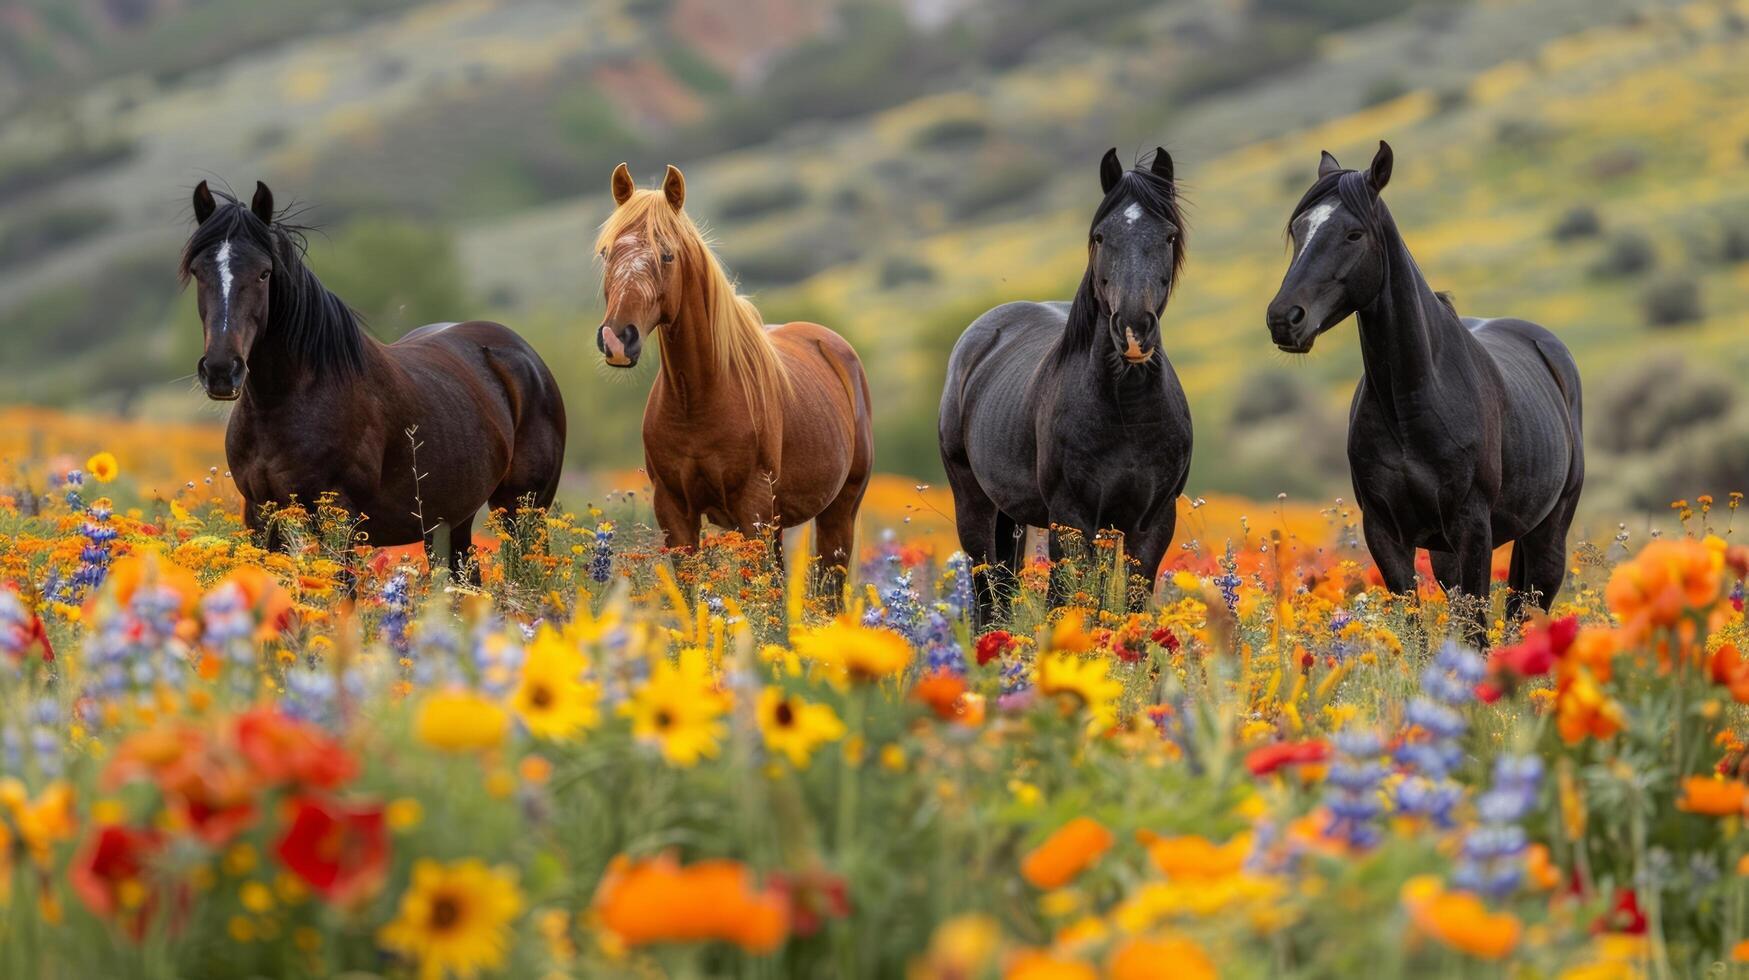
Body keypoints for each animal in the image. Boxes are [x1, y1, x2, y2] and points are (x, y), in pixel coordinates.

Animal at [178, 182, 563, 581]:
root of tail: (524, 356)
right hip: (449, 522)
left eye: (264, 273)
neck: (287, 399)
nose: (222, 370)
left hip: (523, 512)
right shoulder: (261, 517)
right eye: (198, 271)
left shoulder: (338, 520)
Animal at [594, 162, 874, 605]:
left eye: (667, 254)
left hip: (838, 512)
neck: (698, 398)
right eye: (607, 253)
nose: (618, 339)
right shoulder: (675, 511)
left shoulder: (751, 508)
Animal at [937, 149, 1196, 623]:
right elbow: (1067, 601)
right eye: (1100, 236)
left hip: (1013, 516)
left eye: (1169, 236)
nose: (1134, 329)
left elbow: (1129, 608)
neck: (1126, 412)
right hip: (973, 502)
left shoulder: (1152, 522)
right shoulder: (1071, 519)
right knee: (986, 592)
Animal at [1259, 143, 1588, 637]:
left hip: (1547, 536)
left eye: (1353, 234)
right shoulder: (1386, 533)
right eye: (1299, 230)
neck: (1414, 402)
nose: (1284, 318)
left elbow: (1476, 632)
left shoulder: (1473, 531)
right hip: (1445, 552)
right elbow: (1413, 630)